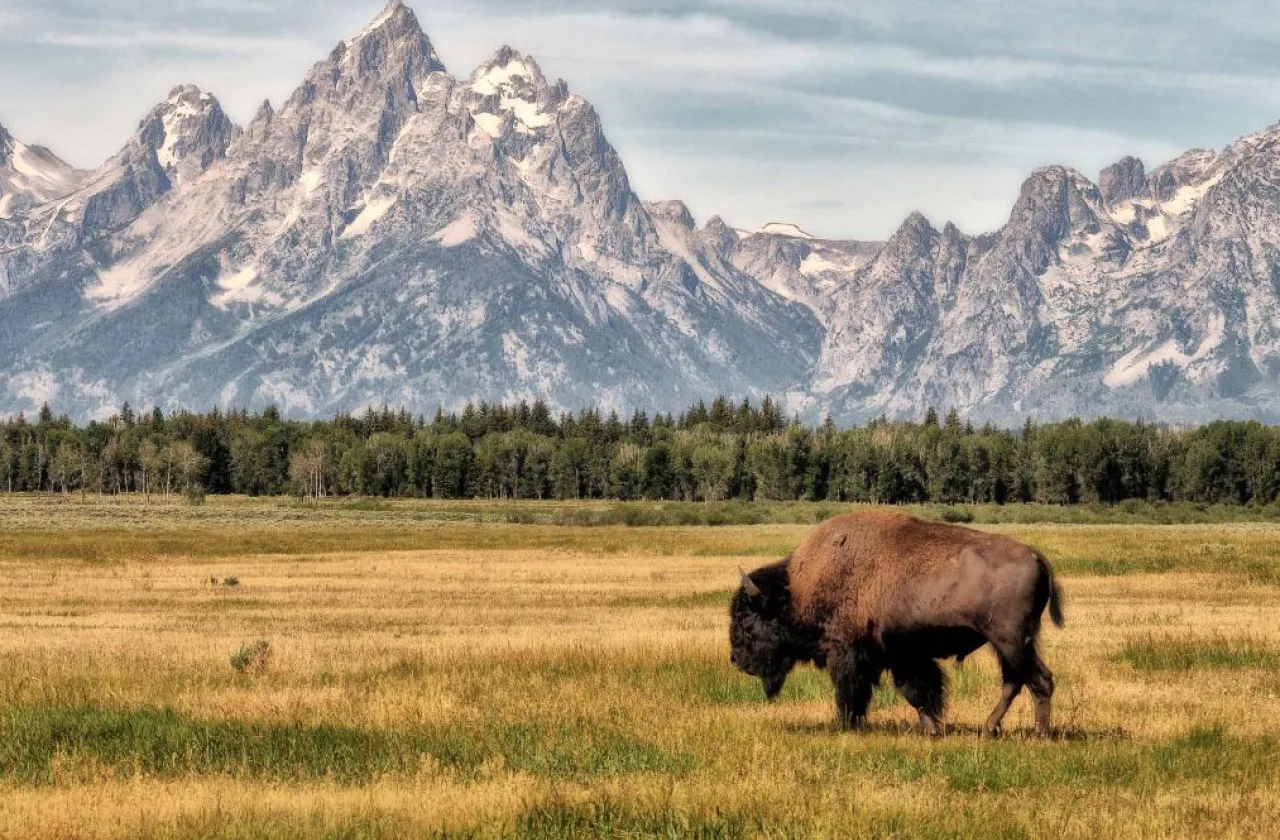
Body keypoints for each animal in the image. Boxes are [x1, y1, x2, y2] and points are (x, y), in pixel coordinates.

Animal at [729, 511, 1065, 737]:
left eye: (746, 619)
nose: (736, 660)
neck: (796, 590)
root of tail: (1036, 556)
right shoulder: (903, 655)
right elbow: (919, 693)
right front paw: (932, 729)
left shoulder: (849, 653)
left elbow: (853, 691)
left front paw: (846, 725)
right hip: (1007, 645)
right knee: (1015, 682)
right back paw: (988, 729)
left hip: (1011, 641)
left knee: (1040, 680)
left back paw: (1039, 734)